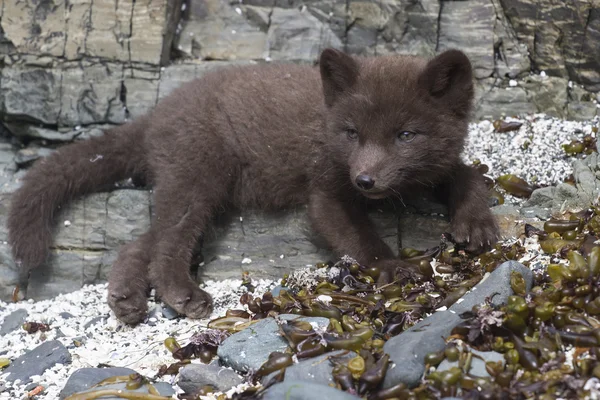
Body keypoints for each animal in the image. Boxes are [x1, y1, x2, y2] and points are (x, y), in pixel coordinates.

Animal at [8, 49, 496, 324]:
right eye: (352, 133)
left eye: (406, 135)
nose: (365, 180)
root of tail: (154, 116)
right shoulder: (325, 191)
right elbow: (359, 238)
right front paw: (393, 267)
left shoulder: (435, 166)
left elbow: (471, 174)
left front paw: (475, 224)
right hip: (199, 178)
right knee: (167, 246)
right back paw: (183, 295)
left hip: (203, 190)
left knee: (141, 242)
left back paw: (126, 300)